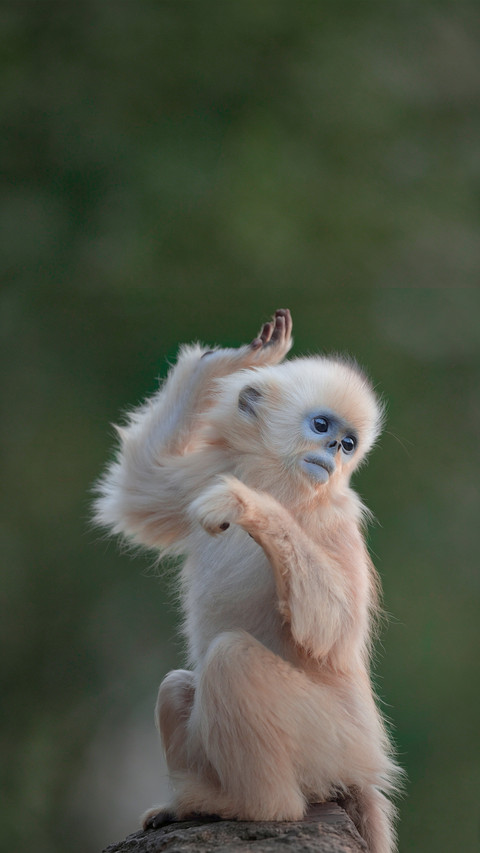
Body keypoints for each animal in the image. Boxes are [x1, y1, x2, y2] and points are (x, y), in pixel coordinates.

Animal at [94, 309, 401, 853]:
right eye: (322, 426)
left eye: (348, 444)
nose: (334, 452)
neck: (278, 480)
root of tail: (363, 767)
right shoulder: (208, 469)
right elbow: (136, 494)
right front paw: (233, 359)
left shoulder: (336, 520)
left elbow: (333, 633)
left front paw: (245, 505)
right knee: (177, 684)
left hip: (330, 741)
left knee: (231, 659)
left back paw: (250, 806)